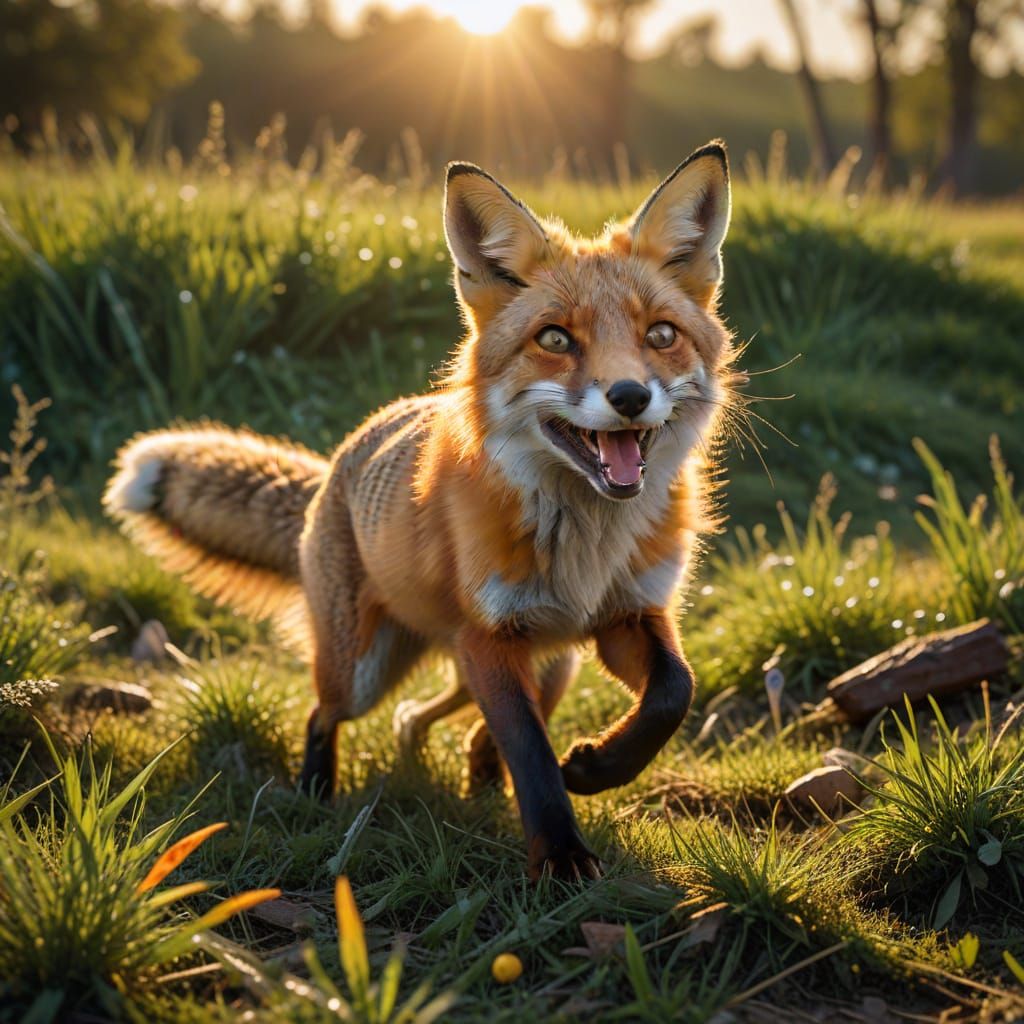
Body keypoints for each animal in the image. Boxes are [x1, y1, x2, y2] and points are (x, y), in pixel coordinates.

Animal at [104, 140, 737, 881]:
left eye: (661, 334)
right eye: (555, 340)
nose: (631, 396)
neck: (585, 541)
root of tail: (336, 465)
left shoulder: (627, 614)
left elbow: (672, 692)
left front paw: (596, 766)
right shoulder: (490, 637)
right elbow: (531, 754)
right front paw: (560, 858)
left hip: (548, 664)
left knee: (451, 724)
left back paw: (473, 778)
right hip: (365, 670)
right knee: (327, 714)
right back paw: (316, 792)